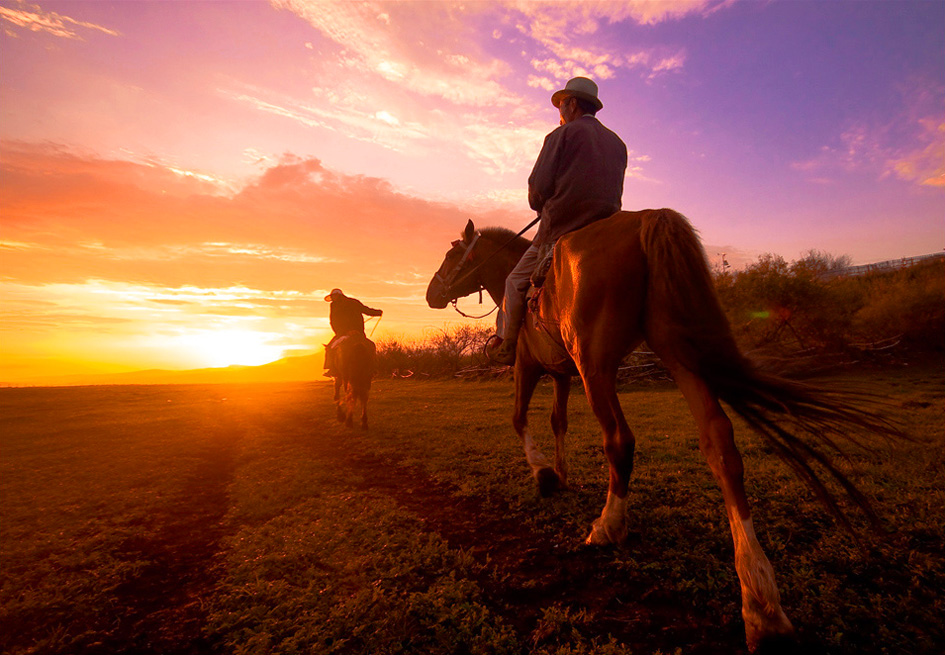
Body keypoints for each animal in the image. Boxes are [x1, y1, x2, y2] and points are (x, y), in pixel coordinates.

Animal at [428, 210, 900, 652]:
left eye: (452, 254)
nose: (432, 293)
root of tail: (645, 219)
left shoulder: (528, 365)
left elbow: (520, 420)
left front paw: (544, 475)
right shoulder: (560, 373)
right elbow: (557, 421)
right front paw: (560, 474)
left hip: (596, 366)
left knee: (620, 441)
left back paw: (608, 527)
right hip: (675, 350)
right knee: (720, 444)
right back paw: (761, 604)